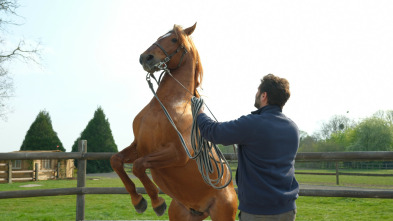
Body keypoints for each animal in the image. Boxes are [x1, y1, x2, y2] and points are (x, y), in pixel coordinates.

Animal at [112, 23, 237, 220]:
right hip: (181, 214)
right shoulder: (139, 146)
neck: (165, 106)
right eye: (159, 37)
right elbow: (116, 160)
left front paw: (156, 202)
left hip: (223, 214)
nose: (145, 57)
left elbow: (138, 166)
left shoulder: (177, 153)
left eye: (173, 39)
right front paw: (138, 201)